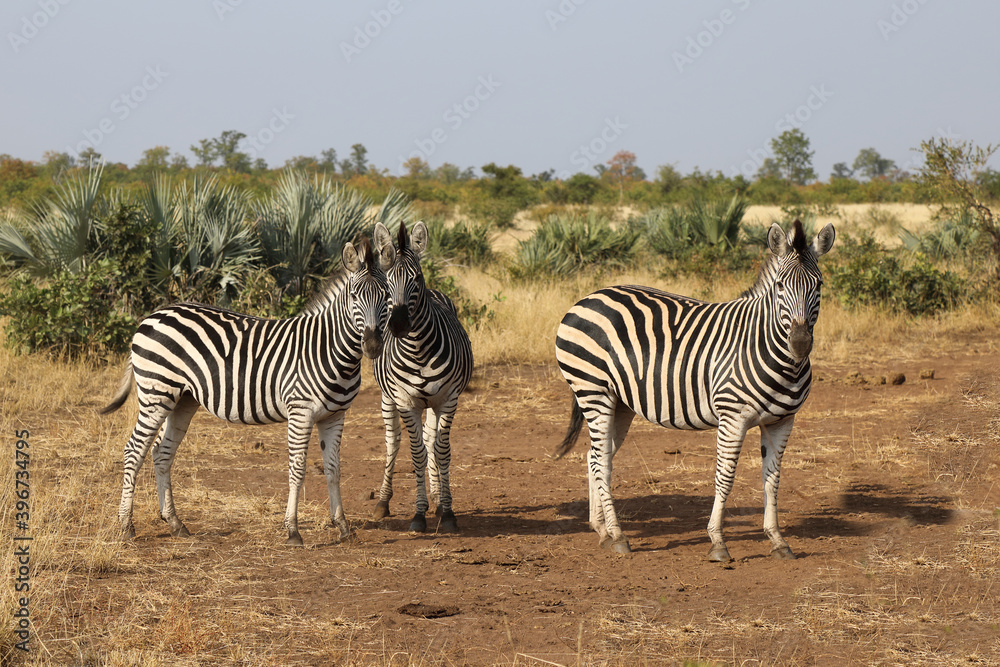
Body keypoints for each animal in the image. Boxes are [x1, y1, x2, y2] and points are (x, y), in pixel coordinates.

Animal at [100, 228, 396, 546]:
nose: (373, 346)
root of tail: (152, 316)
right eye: (354, 296)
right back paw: (126, 526)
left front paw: (342, 526)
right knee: (134, 450)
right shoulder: (300, 411)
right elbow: (297, 469)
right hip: (157, 394)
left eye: (387, 296)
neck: (328, 348)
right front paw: (293, 530)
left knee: (161, 452)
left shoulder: (335, 415)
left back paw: (175, 523)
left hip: (182, 400)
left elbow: (334, 469)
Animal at [371, 221, 474, 533]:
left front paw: (447, 511)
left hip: (434, 402)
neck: (418, 350)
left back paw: (438, 499)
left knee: (431, 440)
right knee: (393, 443)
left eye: (416, 278)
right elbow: (416, 454)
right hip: (387, 398)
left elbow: (441, 450)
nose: (398, 325)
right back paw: (383, 502)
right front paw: (418, 514)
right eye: (387, 282)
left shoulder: (448, 399)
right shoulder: (406, 401)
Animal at [554, 220, 835, 560]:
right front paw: (718, 541)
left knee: (595, 457)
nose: (800, 344)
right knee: (603, 462)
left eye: (819, 285)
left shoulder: (781, 422)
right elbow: (725, 477)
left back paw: (602, 530)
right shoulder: (733, 418)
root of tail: (588, 297)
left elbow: (772, 479)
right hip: (592, 391)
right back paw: (619, 536)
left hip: (619, 403)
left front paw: (777, 540)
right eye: (780, 286)